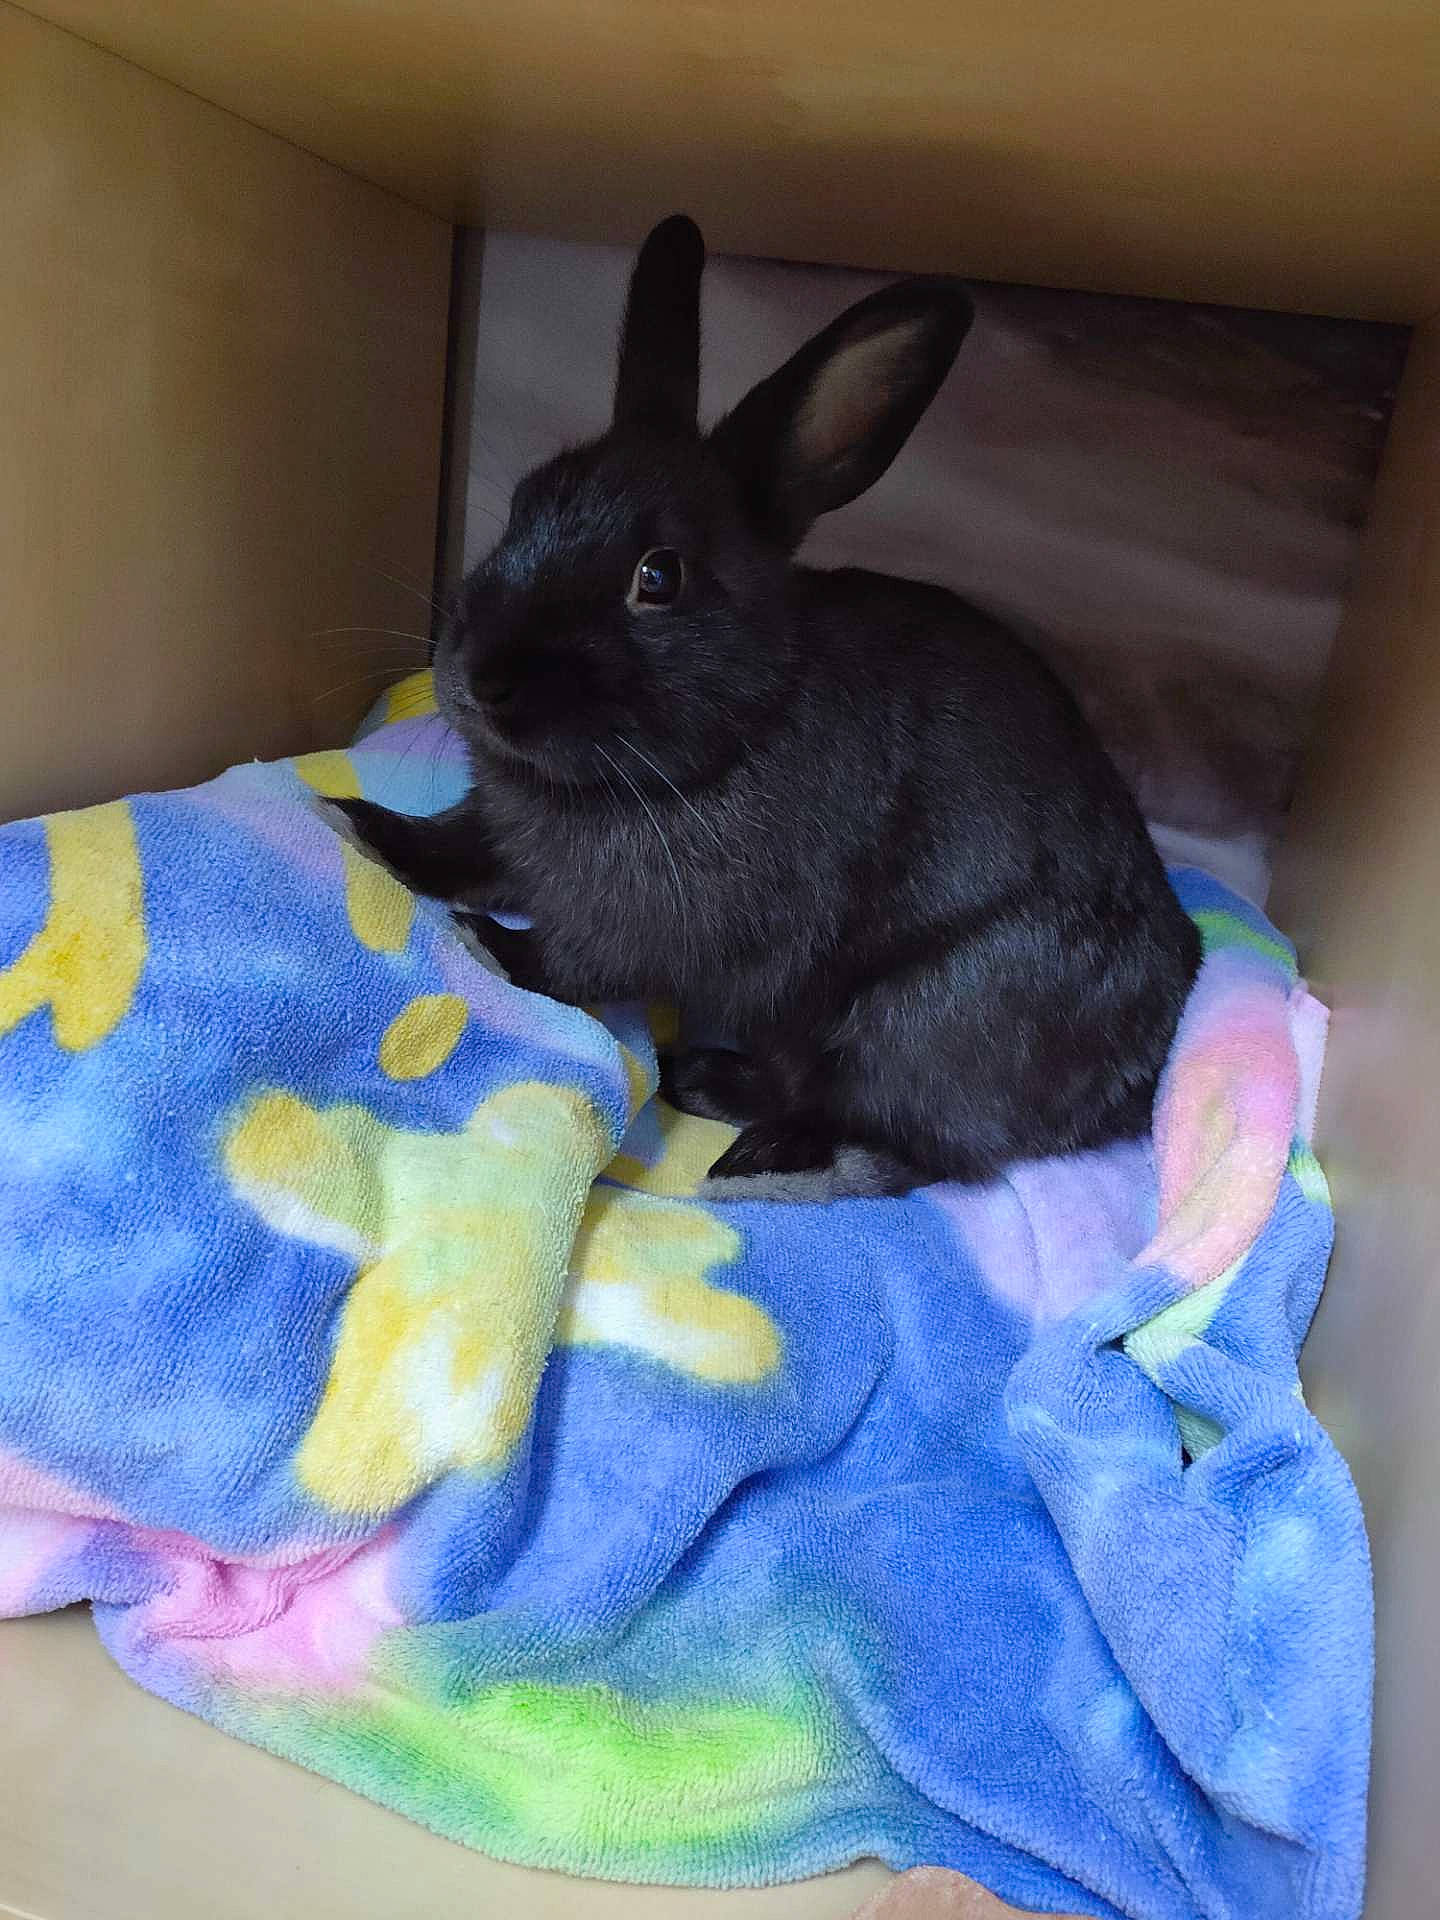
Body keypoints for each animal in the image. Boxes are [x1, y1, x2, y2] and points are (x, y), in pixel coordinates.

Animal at [334, 214, 1202, 1197]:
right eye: (523, 505)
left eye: (659, 577)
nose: (480, 679)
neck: (737, 731)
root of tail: (1139, 1076)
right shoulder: (498, 826)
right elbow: (460, 842)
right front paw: (362, 825)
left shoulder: (643, 925)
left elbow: (569, 964)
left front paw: (484, 941)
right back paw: (699, 1079)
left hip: (918, 1023)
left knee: (891, 1146)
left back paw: (754, 1164)